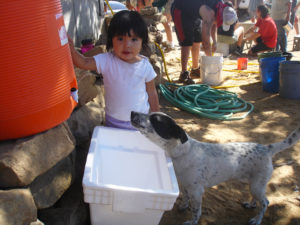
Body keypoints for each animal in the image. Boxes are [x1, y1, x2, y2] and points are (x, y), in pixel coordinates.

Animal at [131, 111, 300, 225]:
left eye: (155, 120)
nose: (133, 112)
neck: (183, 151)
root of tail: (266, 148)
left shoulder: (197, 191)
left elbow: (196, 211)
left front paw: (192, 221)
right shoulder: (186, 185)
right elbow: (185, 198)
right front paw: (183, 206)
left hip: (257, 184)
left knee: (265, 202)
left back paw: (257, 220)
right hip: (254, 184)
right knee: (258, 199)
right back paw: (251, 205)